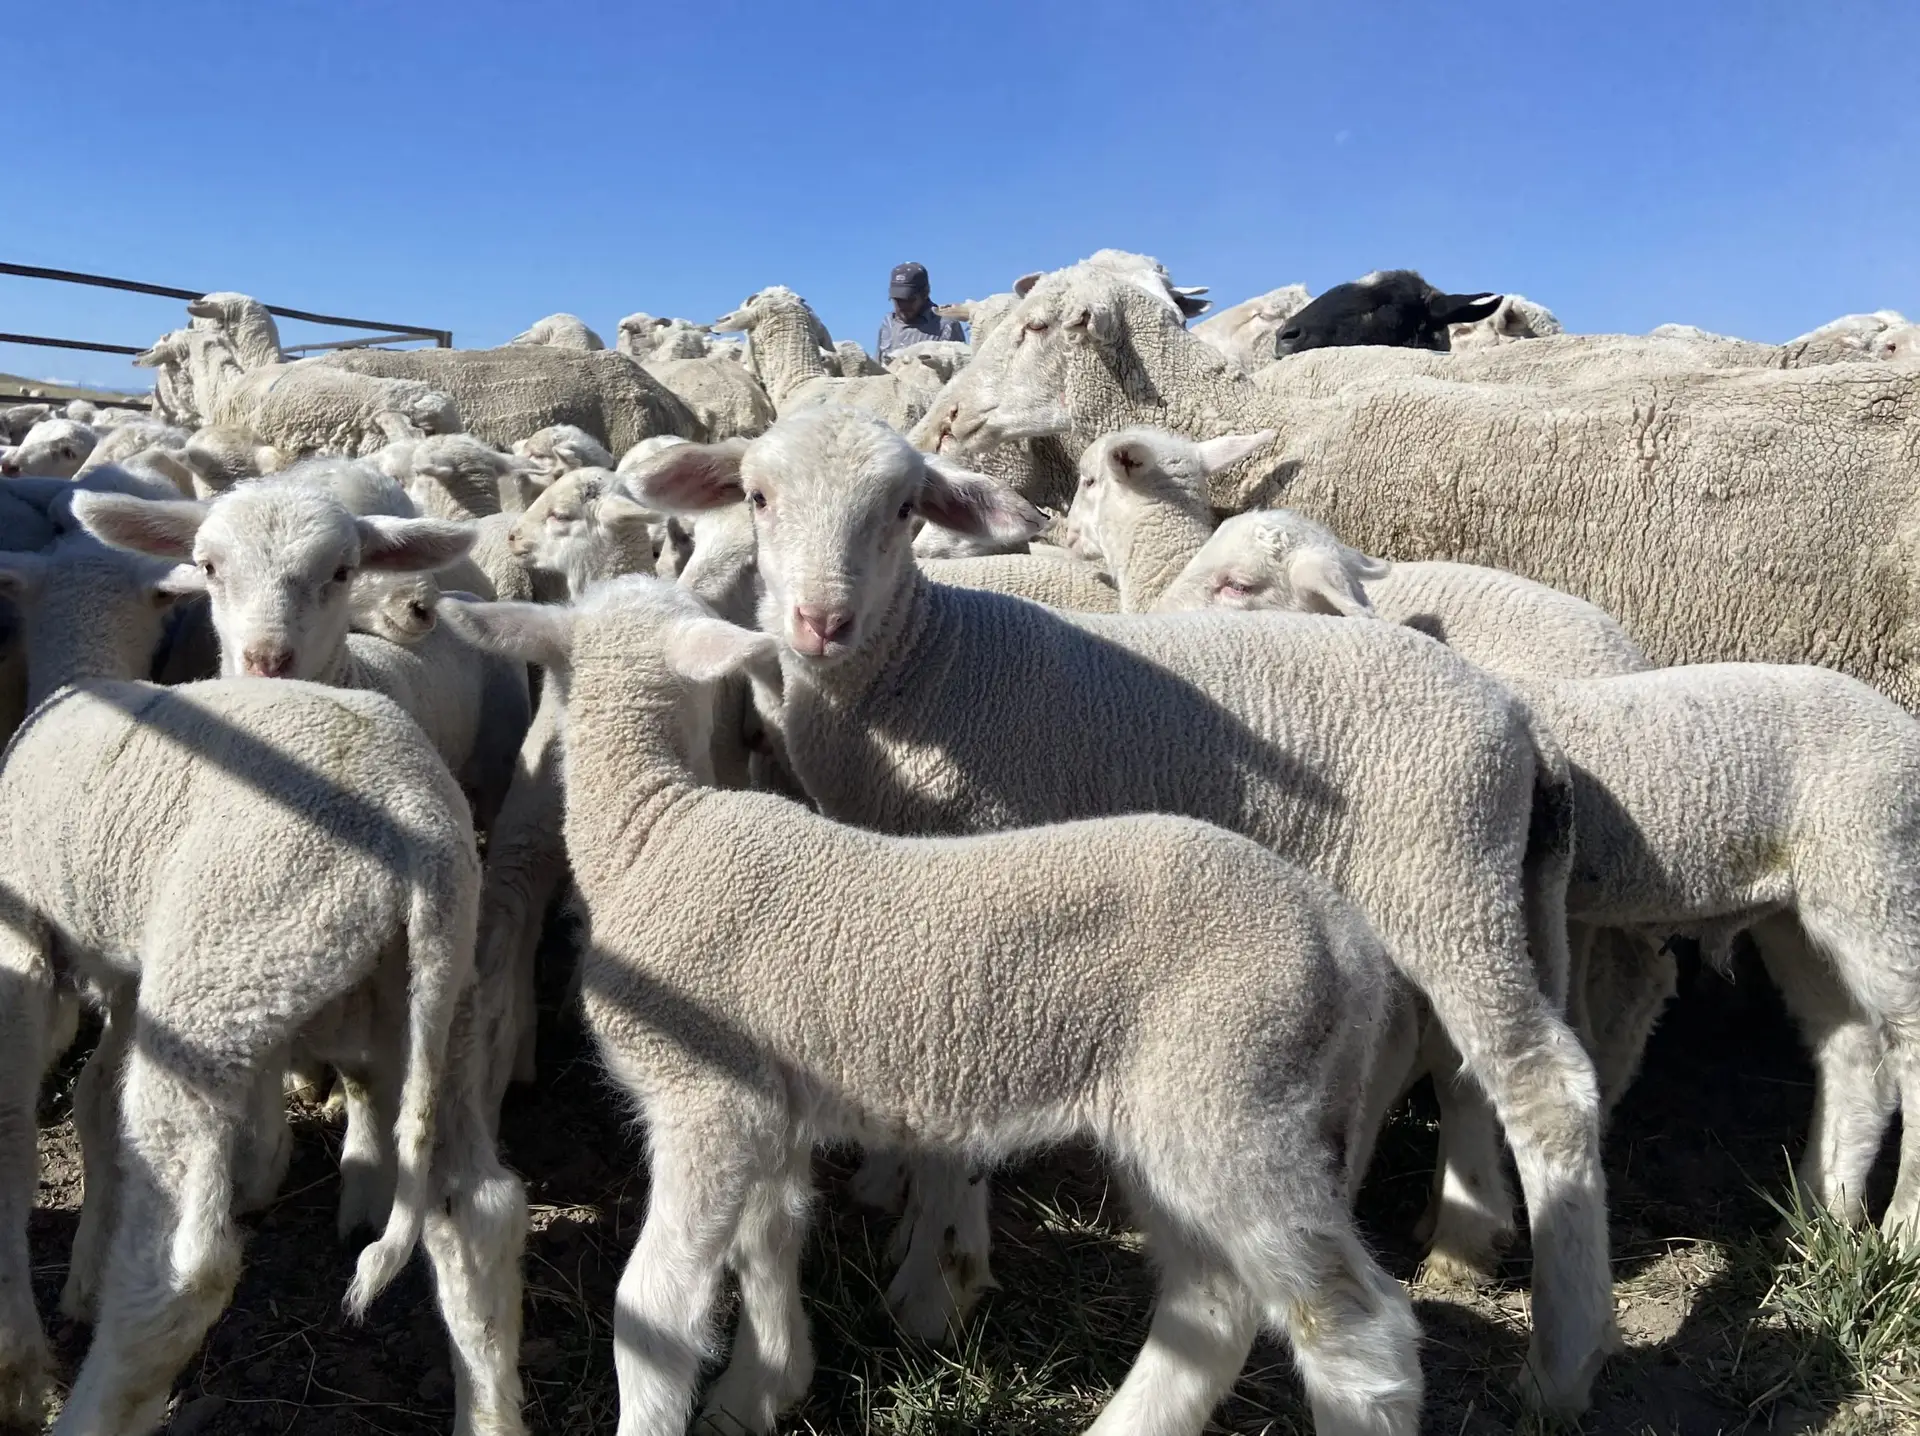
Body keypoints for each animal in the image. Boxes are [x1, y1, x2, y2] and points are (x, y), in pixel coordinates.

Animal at [0, 672, 526, 1436]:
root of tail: (423, 836)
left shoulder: (24, 942)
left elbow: (14, 1133)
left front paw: (16, 1369)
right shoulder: (128, 973)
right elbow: (94, 1101)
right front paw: (82, 1281)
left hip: (220, 978)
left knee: (180, 1274)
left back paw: (89, 1410)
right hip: (434, 1004)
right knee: (480, 1215)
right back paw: (488, 1415)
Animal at [445, 575, 1425, 1436]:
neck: (652, 833)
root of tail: (1344, 938)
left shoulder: (708, 1103)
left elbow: (650, 1310)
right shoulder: (773, 1110)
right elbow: (770, 1244)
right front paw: (762, 1389)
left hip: (1239, 1093)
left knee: (1357, 1331)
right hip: (1180, 1110)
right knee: (1213, 1304)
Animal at [626, 410, 1615, 1414]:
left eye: (905, 508)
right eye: (756, 496)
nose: (821, 623)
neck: (923, 663)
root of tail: (1521, 722)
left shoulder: (989, 870)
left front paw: (938, 1276)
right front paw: (897, 1200)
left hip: (1444, 874)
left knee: (1544, 1085)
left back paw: (1563, 1356)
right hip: (1479, 895)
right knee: (1453, 1056)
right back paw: (1466, 1238)